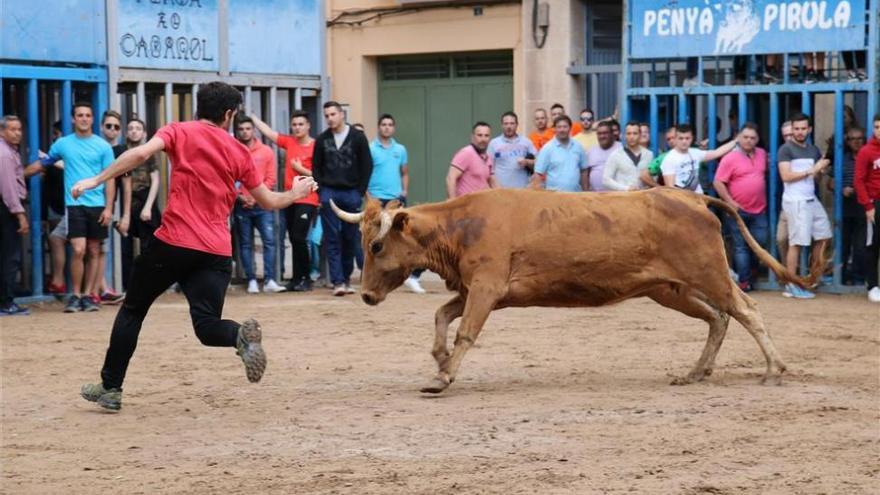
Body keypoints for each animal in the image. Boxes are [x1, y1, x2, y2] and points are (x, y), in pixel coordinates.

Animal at [332, 190, 824, 396]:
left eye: (376, 245)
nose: (367, 296)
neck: (462, 225)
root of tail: (693, 197)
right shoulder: (480, 290)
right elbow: (441, 316)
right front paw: (438, 359)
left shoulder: (486, 289)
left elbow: (465, 331)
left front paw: (442, 377)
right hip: (669, 289)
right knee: (718, 318)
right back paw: (695, 372)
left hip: (709, 274)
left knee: (746, 310)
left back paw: (774, 370)